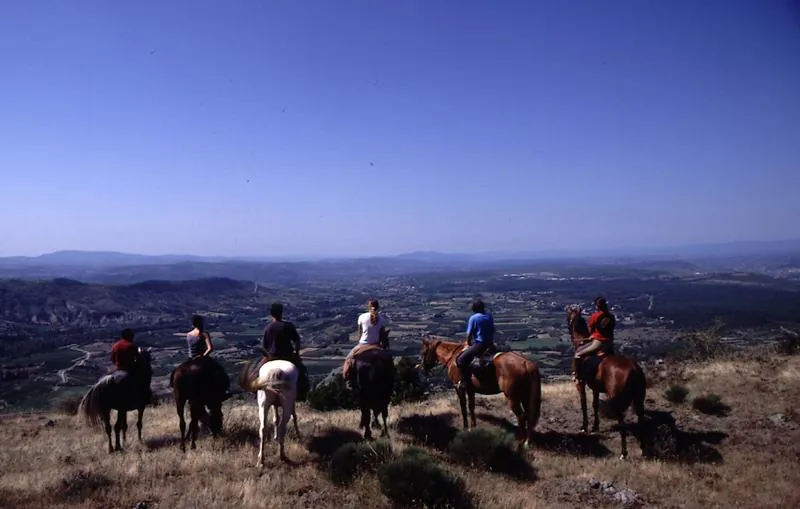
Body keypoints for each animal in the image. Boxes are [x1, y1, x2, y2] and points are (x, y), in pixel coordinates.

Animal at [564, 304, 648, 458]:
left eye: (569, 318)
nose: (568, 329)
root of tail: (634, 370)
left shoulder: (580, 383)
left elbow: (584, 403)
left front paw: (584, 427)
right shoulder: (596, 388)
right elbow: (595, 405)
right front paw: (595, 427)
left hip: (616, 400)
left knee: (622, 422)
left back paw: (623, 453)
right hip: (639, 399)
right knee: (641, 420)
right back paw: (643, 449)